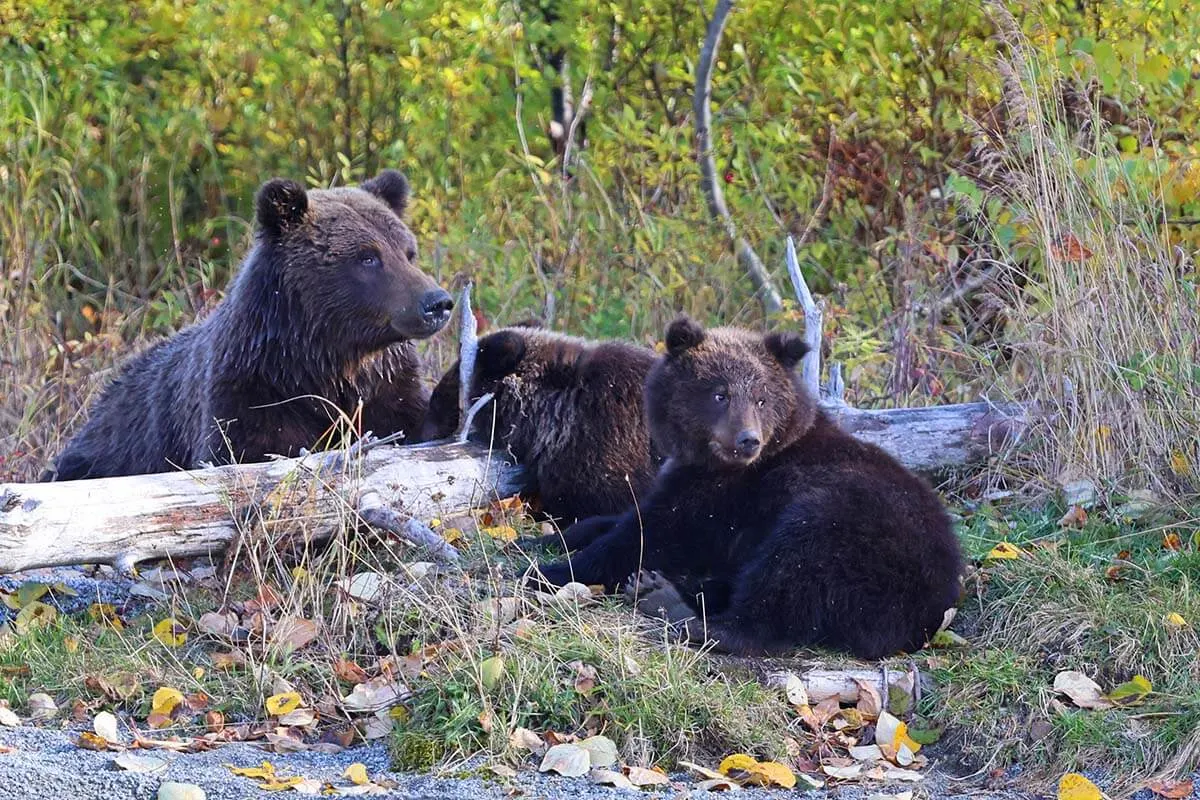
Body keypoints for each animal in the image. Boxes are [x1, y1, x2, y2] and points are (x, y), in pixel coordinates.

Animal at [44, 170, 451, 482]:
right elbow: (249, 451)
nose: (437, 302)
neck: (324, 360)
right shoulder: (250, 396)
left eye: (408, 251)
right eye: (367, 257)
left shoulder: (387, 386)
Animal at [535, 316, 964, 662]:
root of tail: (930, 612)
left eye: (761, 398)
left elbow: (649, 533)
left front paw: (549, 570)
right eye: (719, 393)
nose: (747, 440)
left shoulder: (723, 497)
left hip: (857, 531)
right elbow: (622, 518)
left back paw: (691, 618)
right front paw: (546, 539)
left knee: (789, 572)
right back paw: (665, 590)